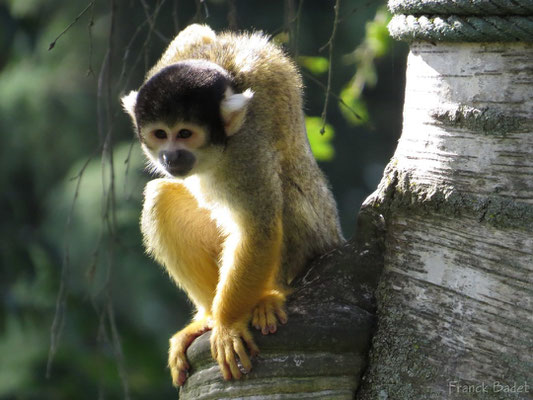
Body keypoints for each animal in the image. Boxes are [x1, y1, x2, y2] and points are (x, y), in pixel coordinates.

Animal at [121, 24, 340, 384]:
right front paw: (215, 321)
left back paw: (270, 296)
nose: (170, 156)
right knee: (161, 197)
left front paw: (226, 325)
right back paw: (207, 316)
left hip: (316, 241)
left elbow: (258, 229)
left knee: (281, 194)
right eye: (159, 134)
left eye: (184, 134)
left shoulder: (244, 148)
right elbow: (197, 32)